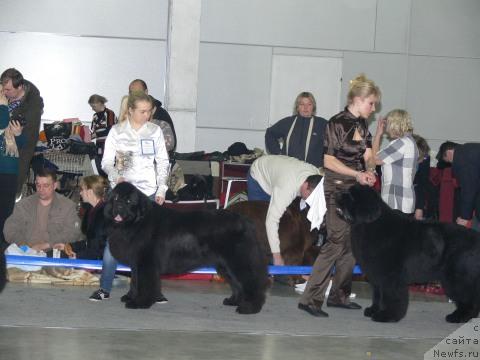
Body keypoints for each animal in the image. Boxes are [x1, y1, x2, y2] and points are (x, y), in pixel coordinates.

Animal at [104, 181, 268, 314]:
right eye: (116, 198)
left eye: (129, 200)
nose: (118, 206)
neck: (137, 222)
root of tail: (245, 221)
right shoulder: (136, 263)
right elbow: (135, 281)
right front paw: (130, 297)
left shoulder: (146, 262)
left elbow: (145, 284)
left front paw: (140, 303)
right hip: (225, 265)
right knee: (237, 283)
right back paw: (234, 301)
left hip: (238, 261)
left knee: (251, 282)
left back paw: (249, 307)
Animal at [336, 184, 480, 322]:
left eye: (351, 196)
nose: (337, 195)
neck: (369, 224)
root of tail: (475, 237)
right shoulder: (377, 274)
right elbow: (377, 295)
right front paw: (373, 310)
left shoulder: (390, 276)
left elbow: (391, 296)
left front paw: (387, 315)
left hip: (457, 277)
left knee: (467, 297)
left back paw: (458, 317)